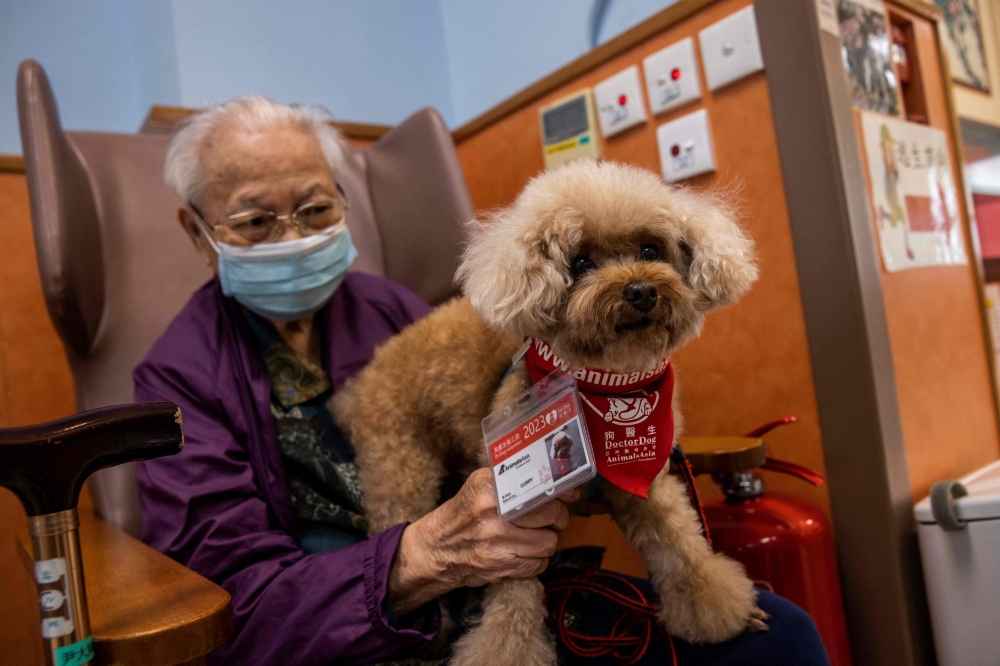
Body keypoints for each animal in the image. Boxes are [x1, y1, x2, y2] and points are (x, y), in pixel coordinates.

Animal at [336, 161, 764, 664]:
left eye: (649, 248)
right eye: (579, 263)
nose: (641, 290)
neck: (599, 383)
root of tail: (361, 381)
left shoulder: (646, 480)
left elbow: (680, 545)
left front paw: (717, 607)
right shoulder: (511, 520)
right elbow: (512, 596)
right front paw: (508, 650)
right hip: (400, 469)